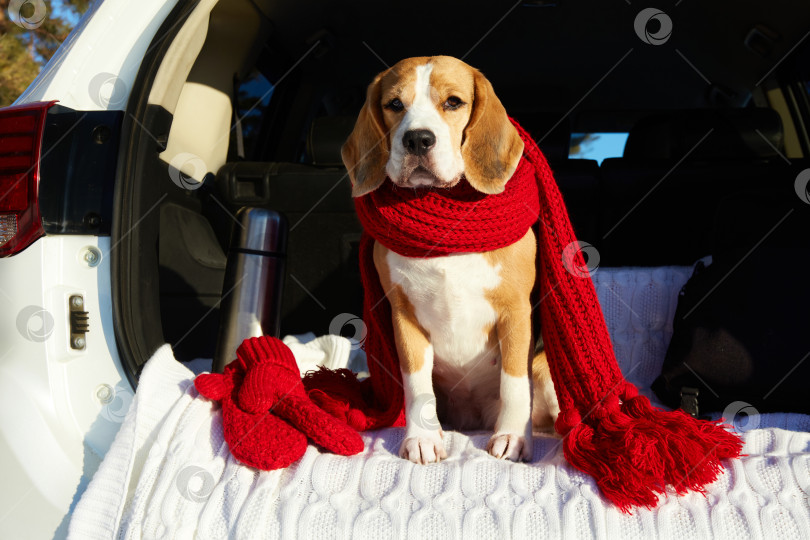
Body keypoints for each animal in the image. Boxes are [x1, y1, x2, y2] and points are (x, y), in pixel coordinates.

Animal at [340, 58, 556, 464]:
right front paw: (422, 438)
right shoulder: (403, 315)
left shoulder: (516, 311)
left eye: (453, 102)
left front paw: (512, 437)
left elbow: (514, 384)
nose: (418, 139)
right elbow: (416, 386)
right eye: (394, 104)